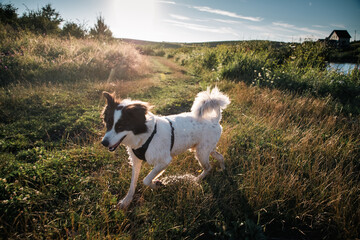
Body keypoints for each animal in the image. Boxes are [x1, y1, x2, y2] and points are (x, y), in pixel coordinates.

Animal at [101, 87, 231, 209]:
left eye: (120, 126)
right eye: (108, 124)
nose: (104, 143)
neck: (146, 135)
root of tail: (215, 120)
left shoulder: (164, 161)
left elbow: (146, 180)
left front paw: (156, 184)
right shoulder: (136, 161)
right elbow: (133, 184)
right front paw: (126, 201)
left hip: (201, 153)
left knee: (208, 167)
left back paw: (197, 179)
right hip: (206, 149)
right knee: (220, 156)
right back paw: (223, 169)